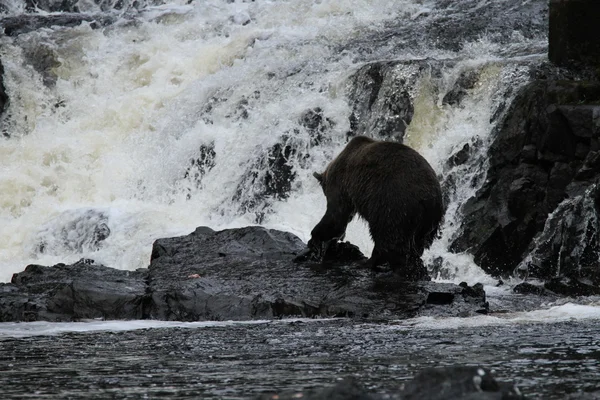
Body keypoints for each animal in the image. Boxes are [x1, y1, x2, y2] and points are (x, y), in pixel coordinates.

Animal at [308, 136, 442, 276]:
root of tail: (429, 199)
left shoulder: (342, 184)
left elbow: (336, 216)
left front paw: (315, 237)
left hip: (391, 203)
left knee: (386, 237)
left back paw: (369, 263)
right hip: (427, 224)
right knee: (416, 245)